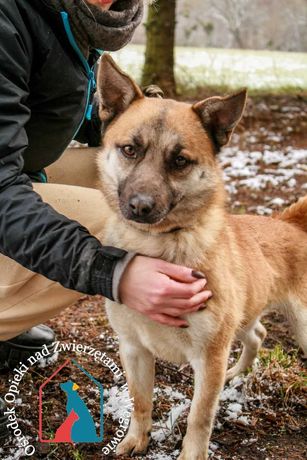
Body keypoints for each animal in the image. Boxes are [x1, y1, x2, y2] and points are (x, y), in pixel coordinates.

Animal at [96, 54, 307, 460]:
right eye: (130, 149)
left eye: (179, 160)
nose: (140, 207)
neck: (158, 248)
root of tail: (289, 223)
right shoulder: (133, 349)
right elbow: (140, 401)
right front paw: (136, 439)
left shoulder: (209, 358)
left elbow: (199, 416)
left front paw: (191, 454)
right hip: (244, 315)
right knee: (258, 333)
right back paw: (238, 372)